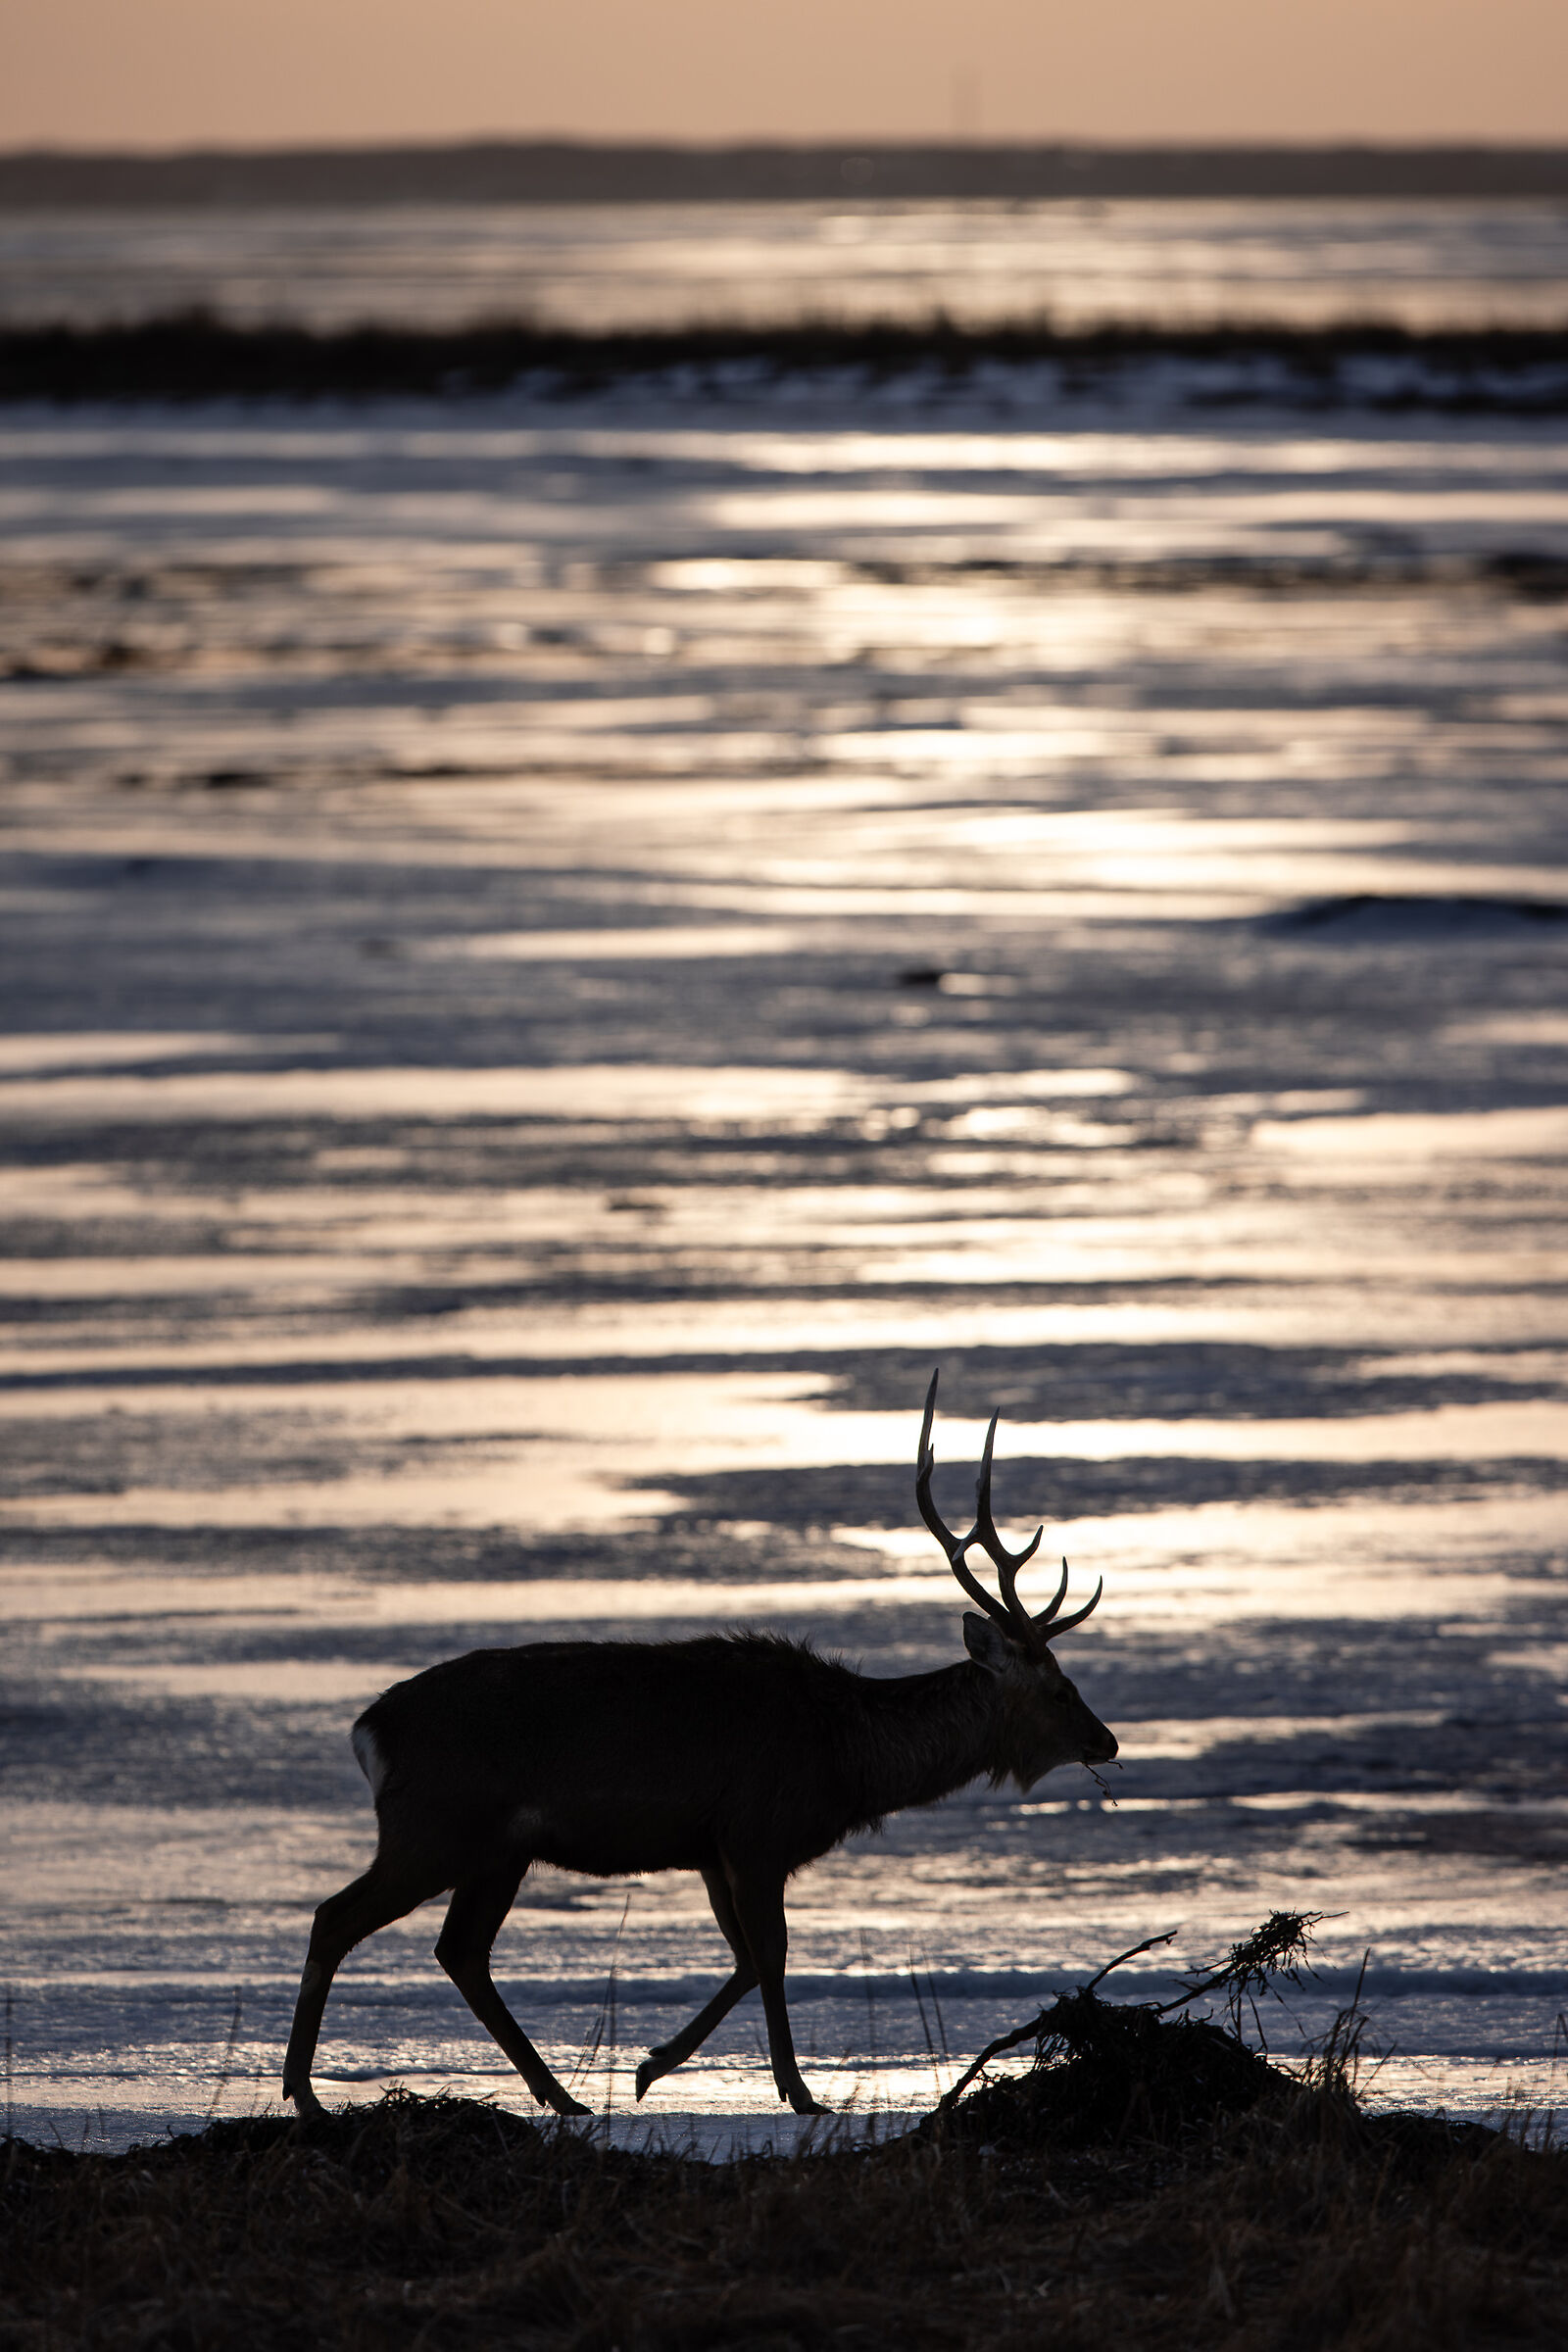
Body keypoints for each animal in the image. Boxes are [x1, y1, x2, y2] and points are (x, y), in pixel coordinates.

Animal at [281, 1371, 1117, 2121]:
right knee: (339, 1917)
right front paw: (796, 2093)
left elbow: (745, 1958)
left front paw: (651, 2067)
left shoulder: (714, 1847)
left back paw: (562, 2097)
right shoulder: (757, 1832)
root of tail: (368, 1731)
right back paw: (306, 2094)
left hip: (496, 1849)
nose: (1106, 1740)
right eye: (1058, 1687)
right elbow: (773, 1955)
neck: (847, 1758)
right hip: (436, 1826)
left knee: (460, 1951)